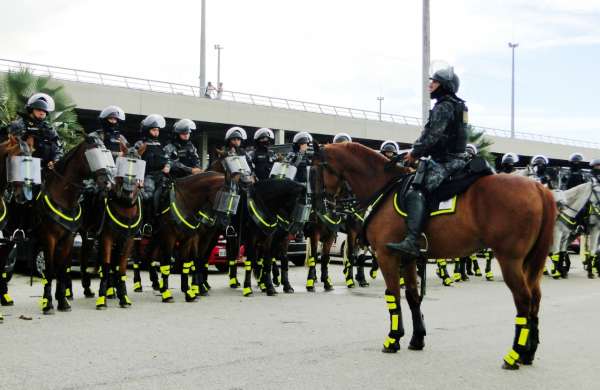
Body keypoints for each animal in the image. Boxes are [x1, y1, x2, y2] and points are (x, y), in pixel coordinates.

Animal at [312, 142, 556, 368]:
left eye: (316, 168)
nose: (320, 204)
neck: (384, 187)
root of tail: (538, 188)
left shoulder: (386, 255)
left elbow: (393, 295)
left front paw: (393, 338)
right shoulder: (408, 258)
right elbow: (412, 296)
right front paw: (416, 338)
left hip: (510, 260)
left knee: (523, 300)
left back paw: (514, 354)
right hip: (530, 262)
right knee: (535, 299)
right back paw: (528, 353)